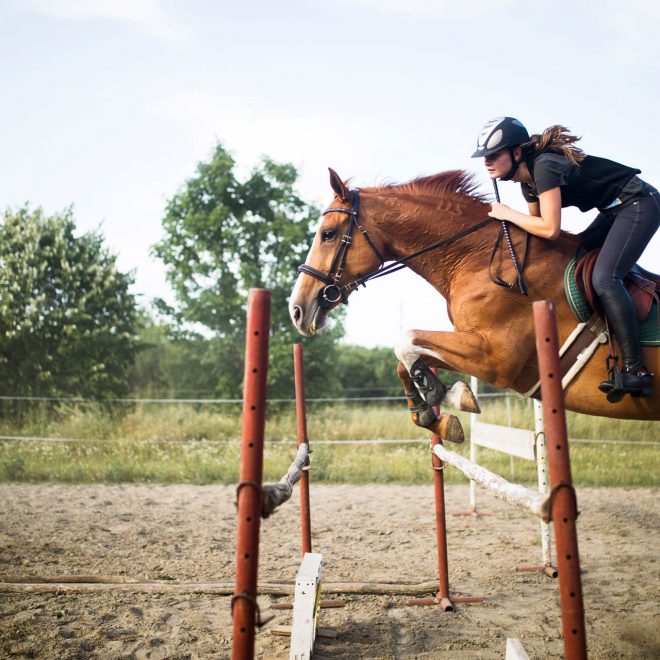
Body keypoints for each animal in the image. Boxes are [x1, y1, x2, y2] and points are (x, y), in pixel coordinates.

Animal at [289, 168, 659, 442]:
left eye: (327, 234)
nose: (297, 309)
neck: (479, 259)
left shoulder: (496, 358)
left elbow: (405, 340)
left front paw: (451, 395)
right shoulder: (471, 340)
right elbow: (405, 358)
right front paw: (431, 412)